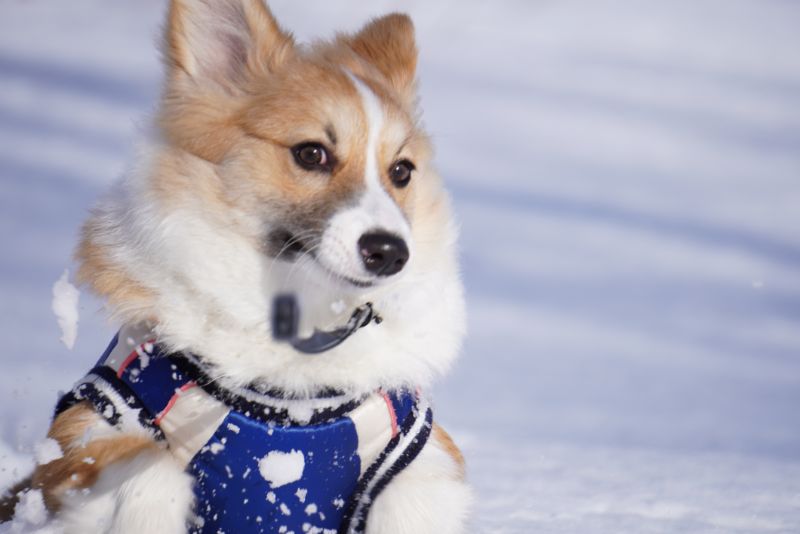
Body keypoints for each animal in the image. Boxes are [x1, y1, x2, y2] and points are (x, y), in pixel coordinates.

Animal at [0, 2, 468, 532]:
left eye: (401, 171)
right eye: (311, 153)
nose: (390, 252)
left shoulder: (420, 450)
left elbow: (413, 503)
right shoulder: (85, 431)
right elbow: (149, 469)